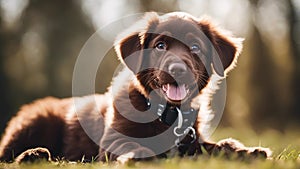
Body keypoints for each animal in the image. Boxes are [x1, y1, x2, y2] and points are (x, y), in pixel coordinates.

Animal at [0, 12, 272, 163]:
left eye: (195, 47)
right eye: (160, 46)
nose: (177, 69)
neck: (166, 113)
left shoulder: (192, 141)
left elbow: (221, 146)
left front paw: (248, 151)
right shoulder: (113, 139)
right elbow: (129, 145)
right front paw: (138, 155)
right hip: (33, 123)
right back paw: (33, 155)